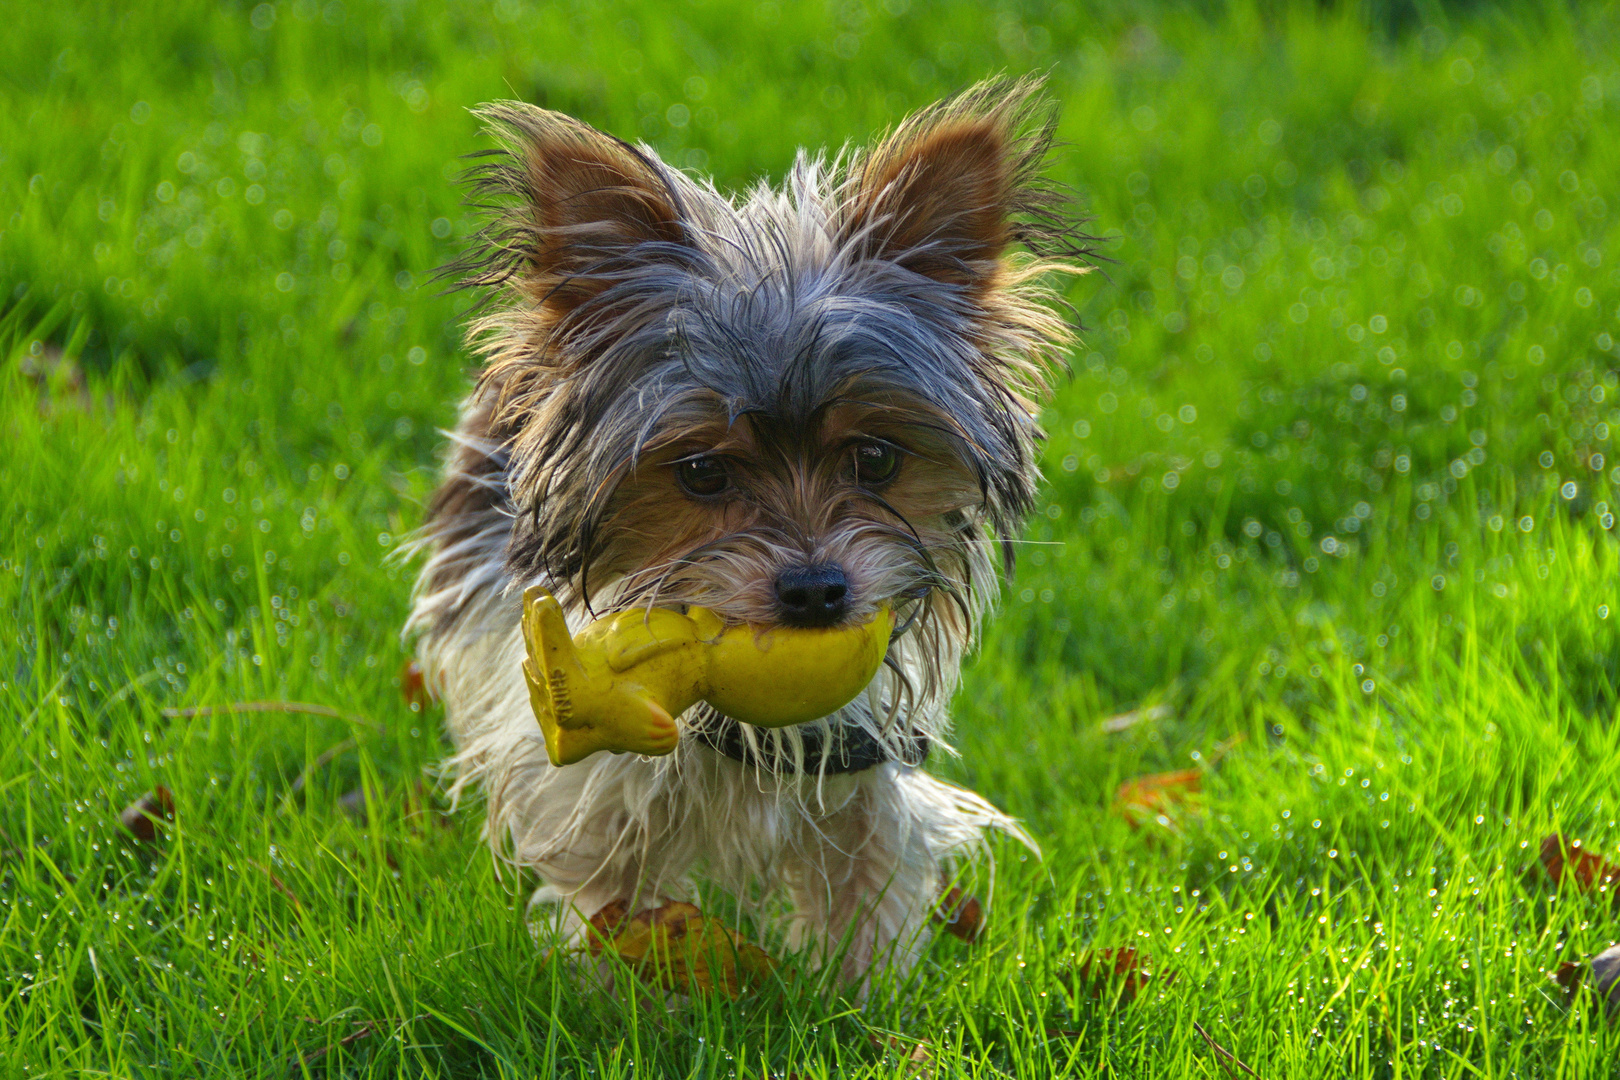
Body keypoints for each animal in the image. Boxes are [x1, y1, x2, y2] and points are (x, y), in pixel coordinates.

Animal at [408, 74, 1088, 990]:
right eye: (701, 472)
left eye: (876, 459)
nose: (816, 591)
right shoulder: (597, 792)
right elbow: (614, 902)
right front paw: (617, 995)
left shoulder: (862, 776)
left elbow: (867, 887)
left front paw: (857, 999)